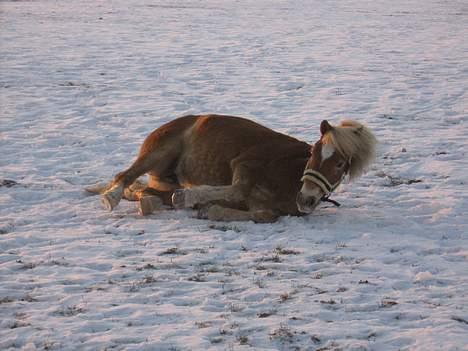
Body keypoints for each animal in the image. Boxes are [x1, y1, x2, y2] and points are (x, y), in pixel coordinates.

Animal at [87, 116, 376, 226]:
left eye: (340, 165)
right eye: (315, 151)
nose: (306, 200)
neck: (288, 174)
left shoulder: (267, 208)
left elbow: (263, 214)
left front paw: (208, 209)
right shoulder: (243, 166)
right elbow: (237, 188)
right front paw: (191, 198)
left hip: (163, 179)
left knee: (144, 191)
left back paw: (149, 201)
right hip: (159, 152)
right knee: (124, 177)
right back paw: (110, 198)